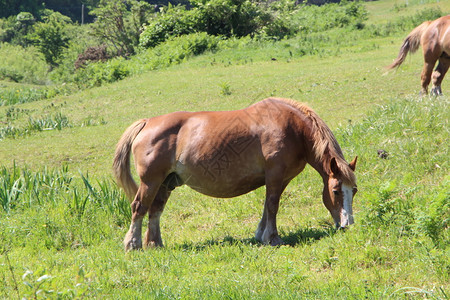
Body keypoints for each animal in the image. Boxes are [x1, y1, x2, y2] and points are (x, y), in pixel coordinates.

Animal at [113, 97, 358, 250]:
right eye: (336, 191)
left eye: (354, 191)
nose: (348, 225)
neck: (292, 128)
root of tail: (147, 123)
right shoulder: (275, 175)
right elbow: (273, 205)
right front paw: (273, 238)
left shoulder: (280, 179)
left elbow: (267, 206)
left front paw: (261, 235)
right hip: (150, 182)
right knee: (139, 208)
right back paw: (133, 244)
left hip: (166, 183)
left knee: (155, 211)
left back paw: (155, 244)